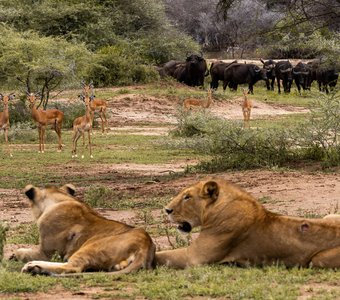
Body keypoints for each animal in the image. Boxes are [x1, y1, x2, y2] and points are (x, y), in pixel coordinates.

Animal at [11, 184, 155, 276]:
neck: (62, 199)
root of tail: (145, 245)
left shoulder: (46, 252)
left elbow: (24, 252)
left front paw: (14, 255)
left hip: (89, 248)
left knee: (72, 267)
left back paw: (33, 267)